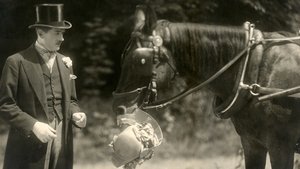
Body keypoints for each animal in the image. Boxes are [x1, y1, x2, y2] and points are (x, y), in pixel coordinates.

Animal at [112, 5, 300, 169]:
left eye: (141, 60)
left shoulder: (281, 145)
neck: (255, 68)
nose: (119, 107)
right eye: (123, 56)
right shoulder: (252, 143)